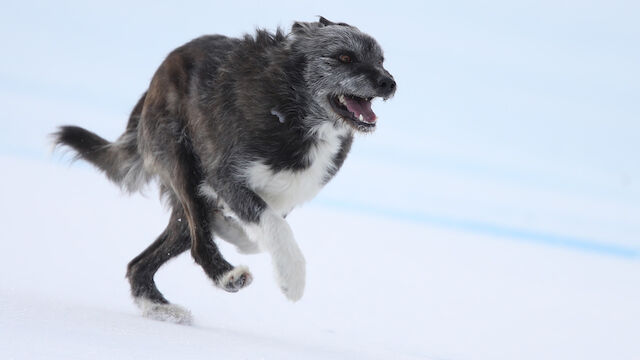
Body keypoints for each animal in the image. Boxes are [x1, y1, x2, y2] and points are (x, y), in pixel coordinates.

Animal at [53, 16, 396, 324]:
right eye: (344, 57)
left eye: (380, 59)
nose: (389, 83)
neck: (291, 109)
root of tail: (158, 76)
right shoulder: (224, 178)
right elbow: (275, 227)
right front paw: (292, 277)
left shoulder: (283, 195)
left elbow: (260, 233)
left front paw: (230, 229)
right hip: (182, 165)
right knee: (197, 243)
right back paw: (226, 276)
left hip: (183, 204)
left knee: (141, 262)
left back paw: (161, 307)